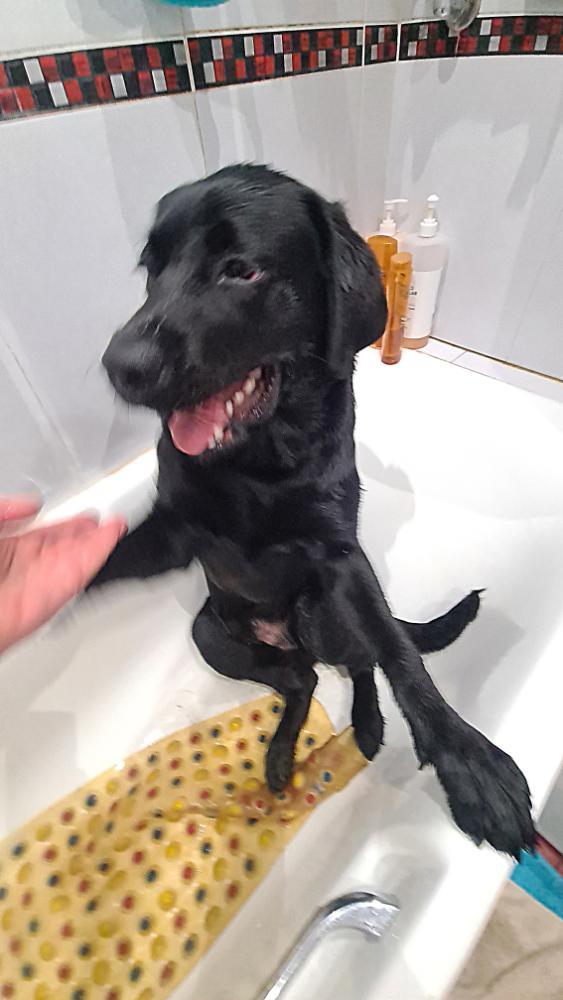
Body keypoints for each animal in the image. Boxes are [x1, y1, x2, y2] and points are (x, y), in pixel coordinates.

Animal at [94, 164, 534, 858]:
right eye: (150, 269)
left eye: (242, 270)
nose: (121, 367)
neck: (259, 458)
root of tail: (285, 631)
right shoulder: (173, 531)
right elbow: (104, 555)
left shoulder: (339, 557)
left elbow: (399, 655)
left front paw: (469, 761)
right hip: (213, 633)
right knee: (300, 679)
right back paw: (280, 754)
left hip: (321, 613)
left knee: (357, 662)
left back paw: (367, 724)